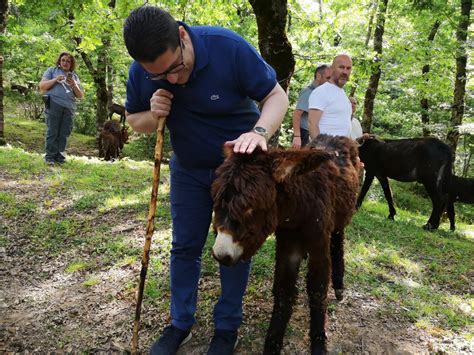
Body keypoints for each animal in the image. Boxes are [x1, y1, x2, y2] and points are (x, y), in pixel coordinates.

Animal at [211, 135, 360, 354]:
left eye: (251, 208)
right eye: (218, 202)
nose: (221, 255)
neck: (298, 212)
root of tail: (336, 137)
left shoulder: (319, 247)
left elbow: (317, 291)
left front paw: (318, 343)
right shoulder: (287, 247)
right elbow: (282, 292)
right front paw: (272, 344)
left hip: (341, 220)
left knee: (338, 243)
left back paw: (339, 284)